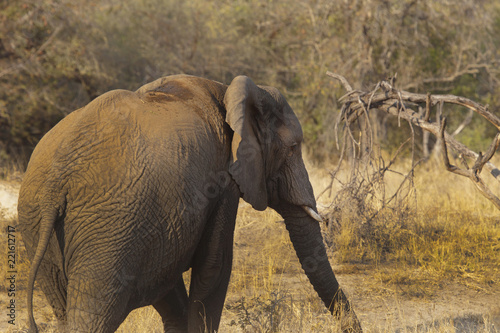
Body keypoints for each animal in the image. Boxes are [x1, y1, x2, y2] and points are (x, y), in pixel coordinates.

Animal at [18, 74, 364, 332]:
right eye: (293, 148)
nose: (353, 328)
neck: (227, 93)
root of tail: (55, 184)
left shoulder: (161, 225)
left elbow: (169, 282)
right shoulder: (222, 178)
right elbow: (215, 265)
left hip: (40, 227)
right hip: (108, 231)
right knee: (93, 316)